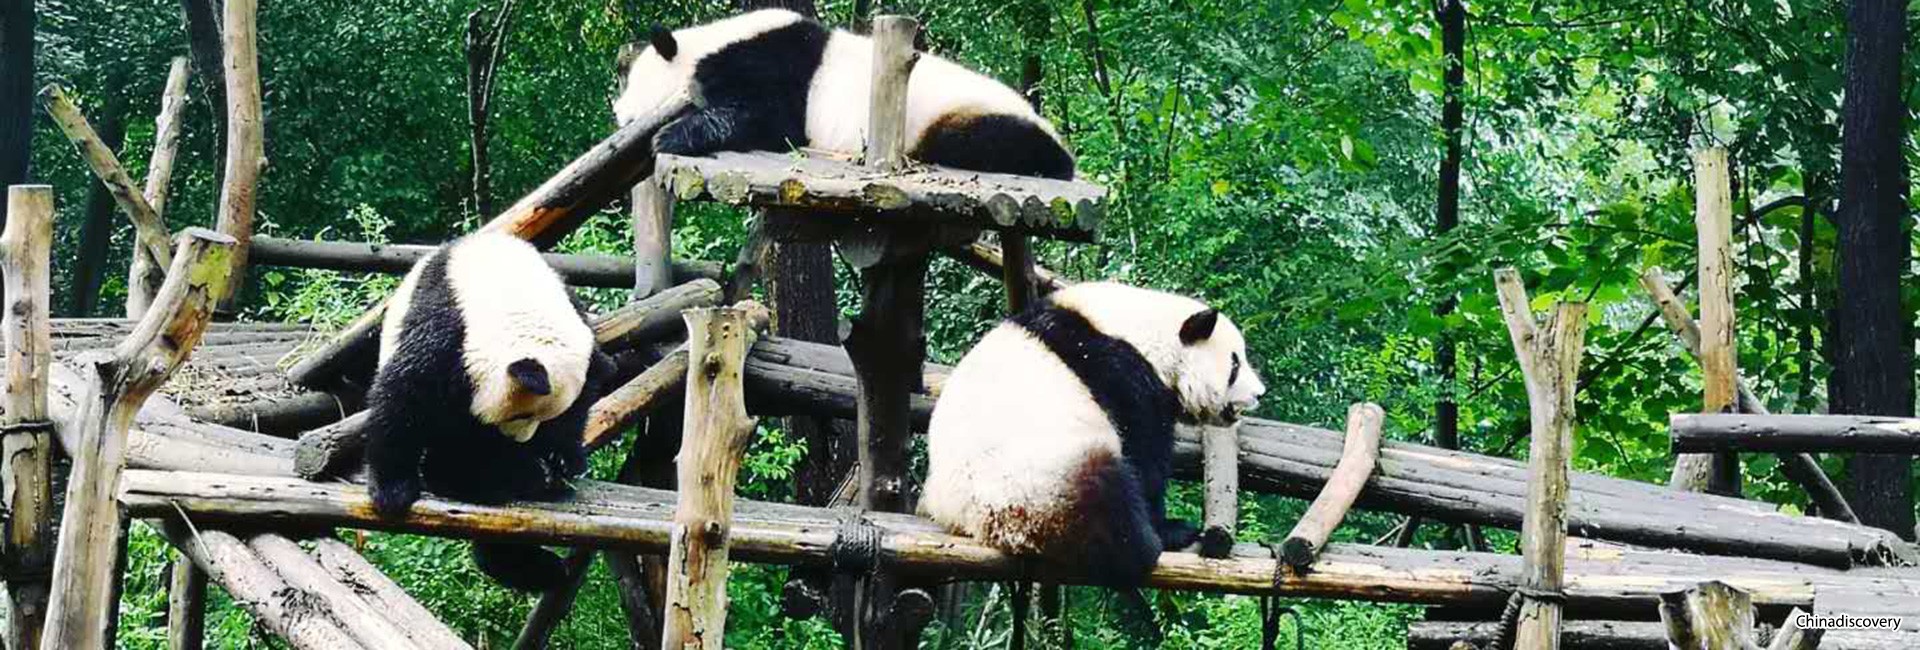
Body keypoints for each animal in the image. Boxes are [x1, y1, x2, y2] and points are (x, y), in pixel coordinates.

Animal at [366, 233, 614, 594]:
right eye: (519, 416)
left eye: (545, 419)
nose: (521, 440)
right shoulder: (447, 331)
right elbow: (405, 397)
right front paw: (392, 491)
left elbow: (584, 399)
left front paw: (560, 460)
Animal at [614, 8, 1075, 181]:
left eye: (631, 101)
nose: (618, 115)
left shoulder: (772, 64)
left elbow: (767, 117)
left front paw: (670, 135)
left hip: (967, 117)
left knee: (982, 140)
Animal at [921, 281, 1267, 586]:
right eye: (1234, 365)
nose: (1259, 394)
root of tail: (980, 527)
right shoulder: (1119, 371)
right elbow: (1143, 451)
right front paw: (1169, 526)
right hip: (1035, 485)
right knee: (1106, 497)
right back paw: (1148, 543)